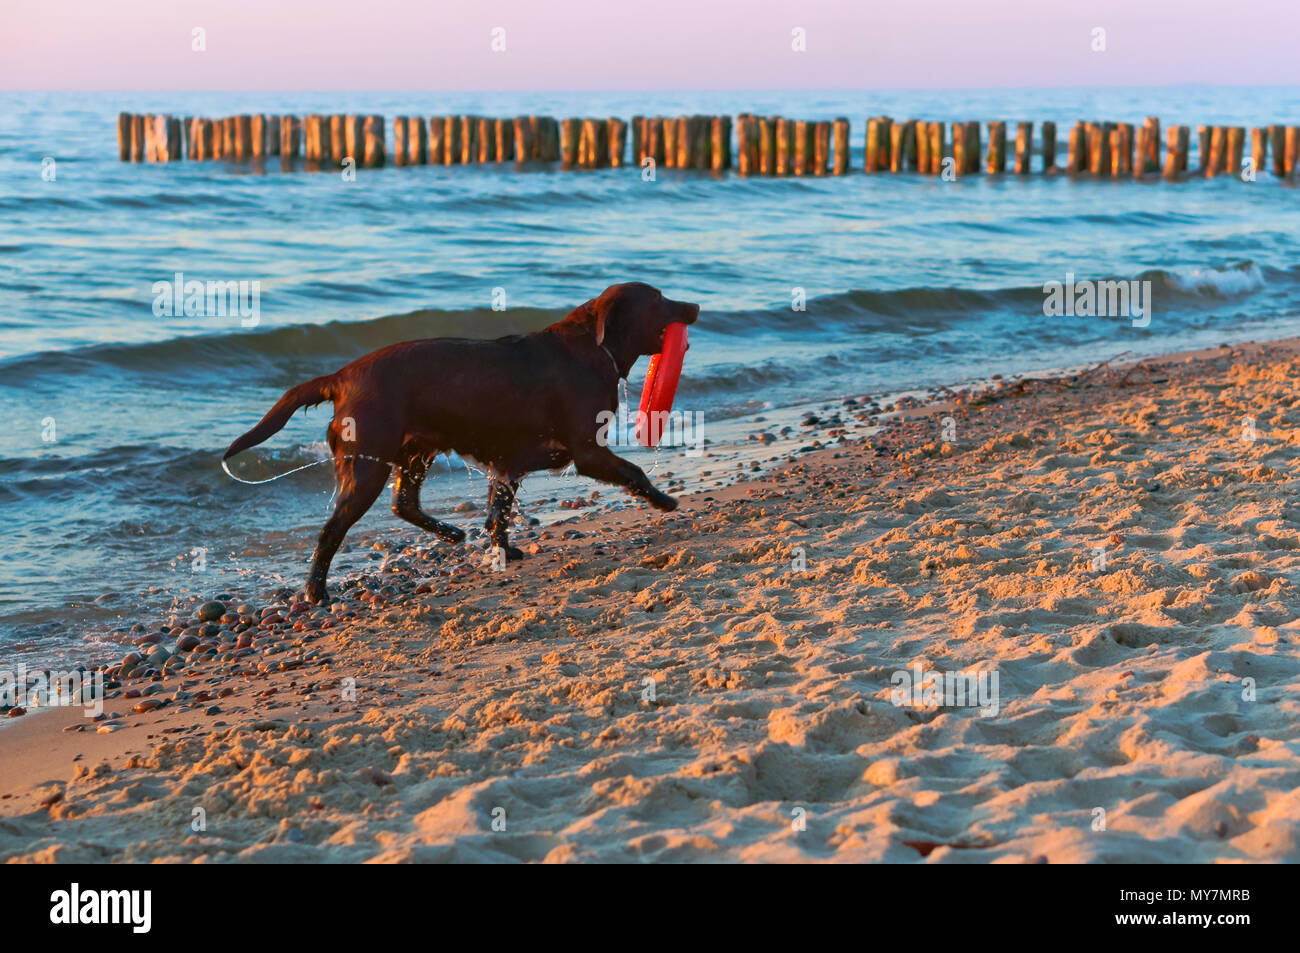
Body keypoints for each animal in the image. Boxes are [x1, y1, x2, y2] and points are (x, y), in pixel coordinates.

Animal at [223, 278, 702, 603]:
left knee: (404, 504)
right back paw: (316, 592)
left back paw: (452, 533)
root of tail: (340, 378)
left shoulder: (508, 464)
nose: (696, 304)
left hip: (417, 451)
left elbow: (497, 514)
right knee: (331, 531)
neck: (595, 347)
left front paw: (502, 549)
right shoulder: (587, 451)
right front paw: (664, 500)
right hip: (368, 466)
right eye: (659, 299)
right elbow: (634, 470)